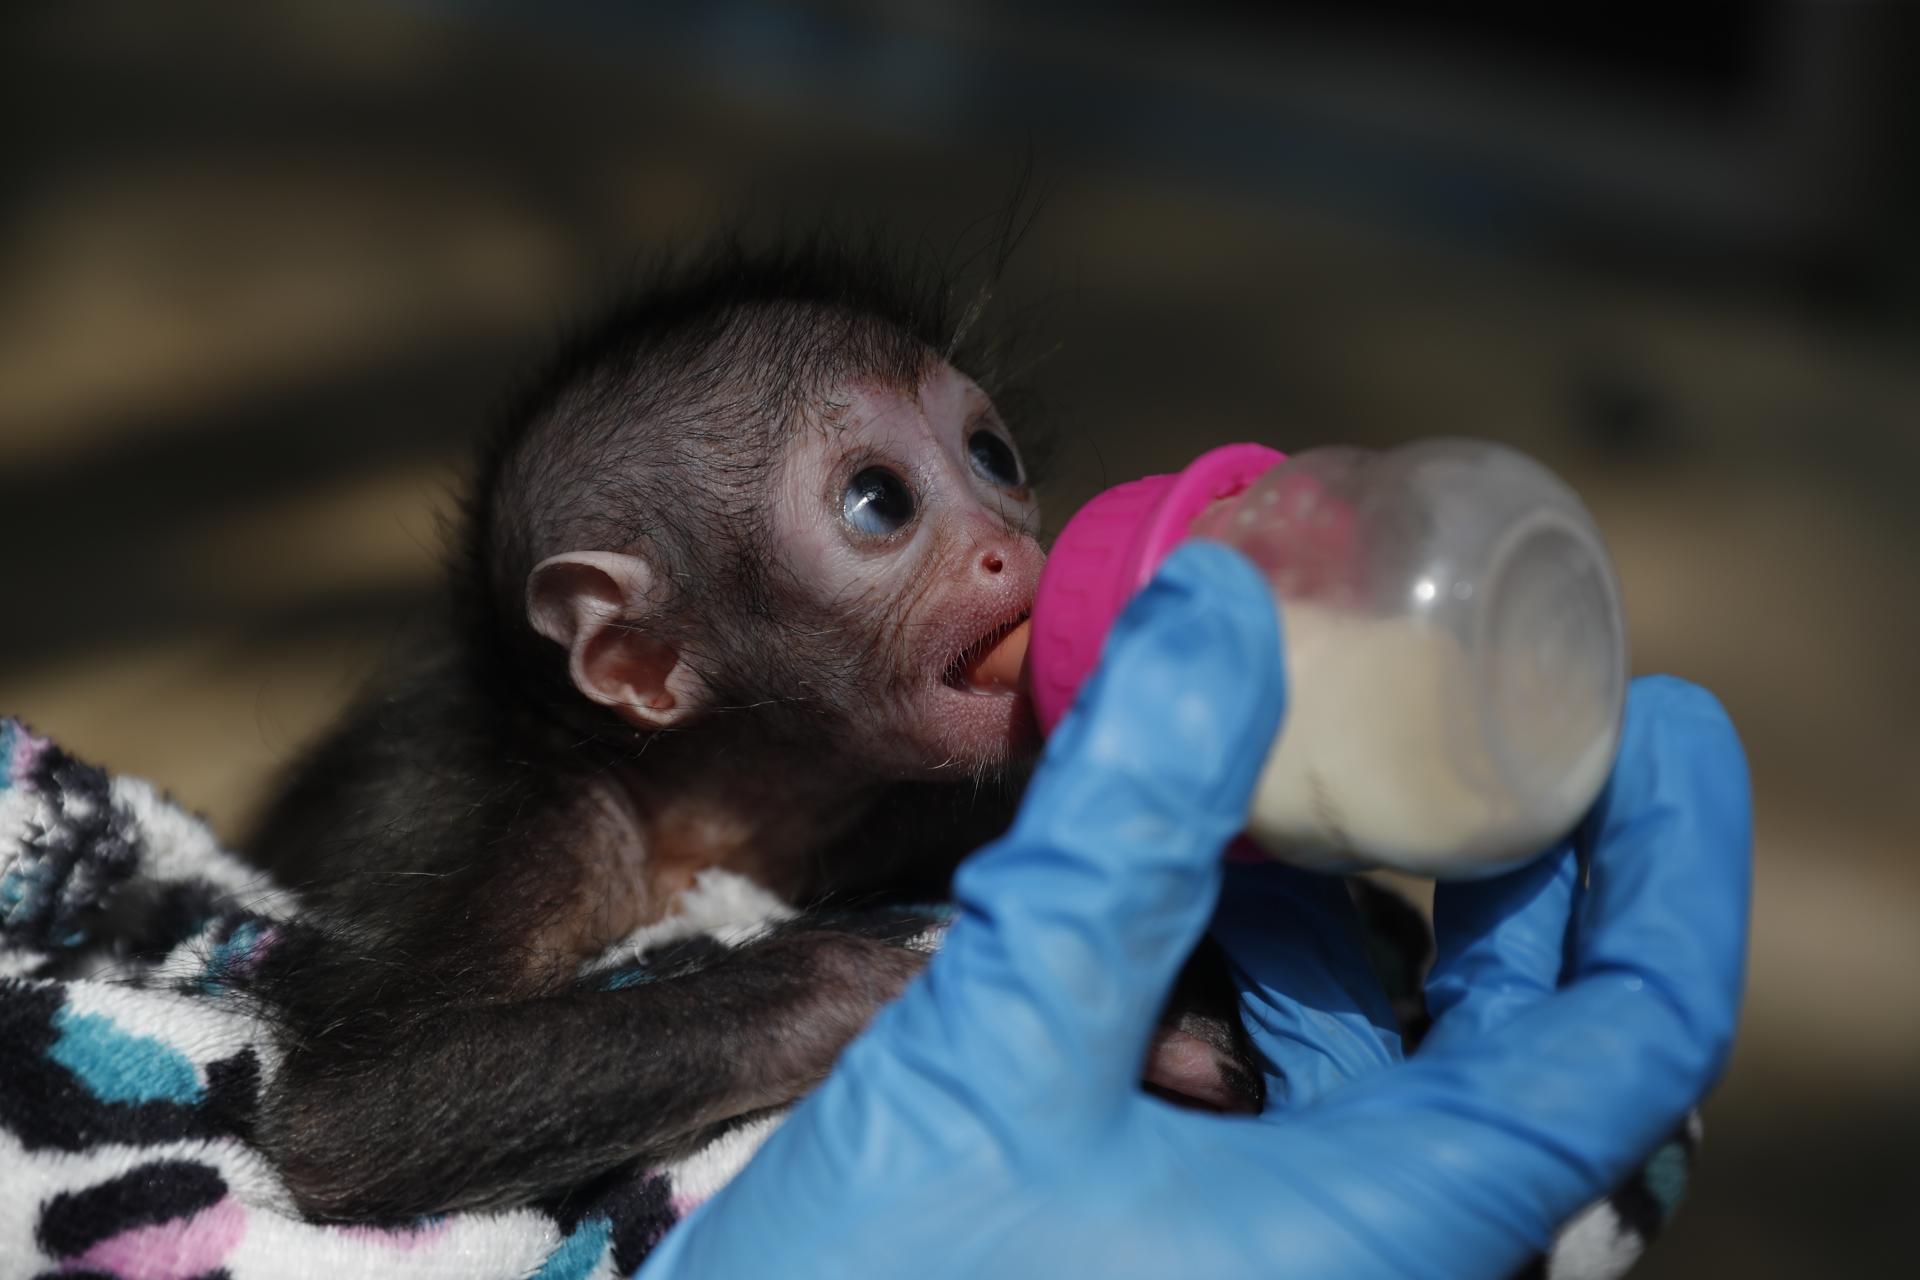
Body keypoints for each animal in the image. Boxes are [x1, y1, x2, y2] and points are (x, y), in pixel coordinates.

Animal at [243, 239, 1259, 1220]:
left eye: (992, 458)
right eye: (880, 501)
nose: (1011, 550)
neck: (704, 798)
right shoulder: (524, 830)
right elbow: (354, 1118)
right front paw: (933, 1003)